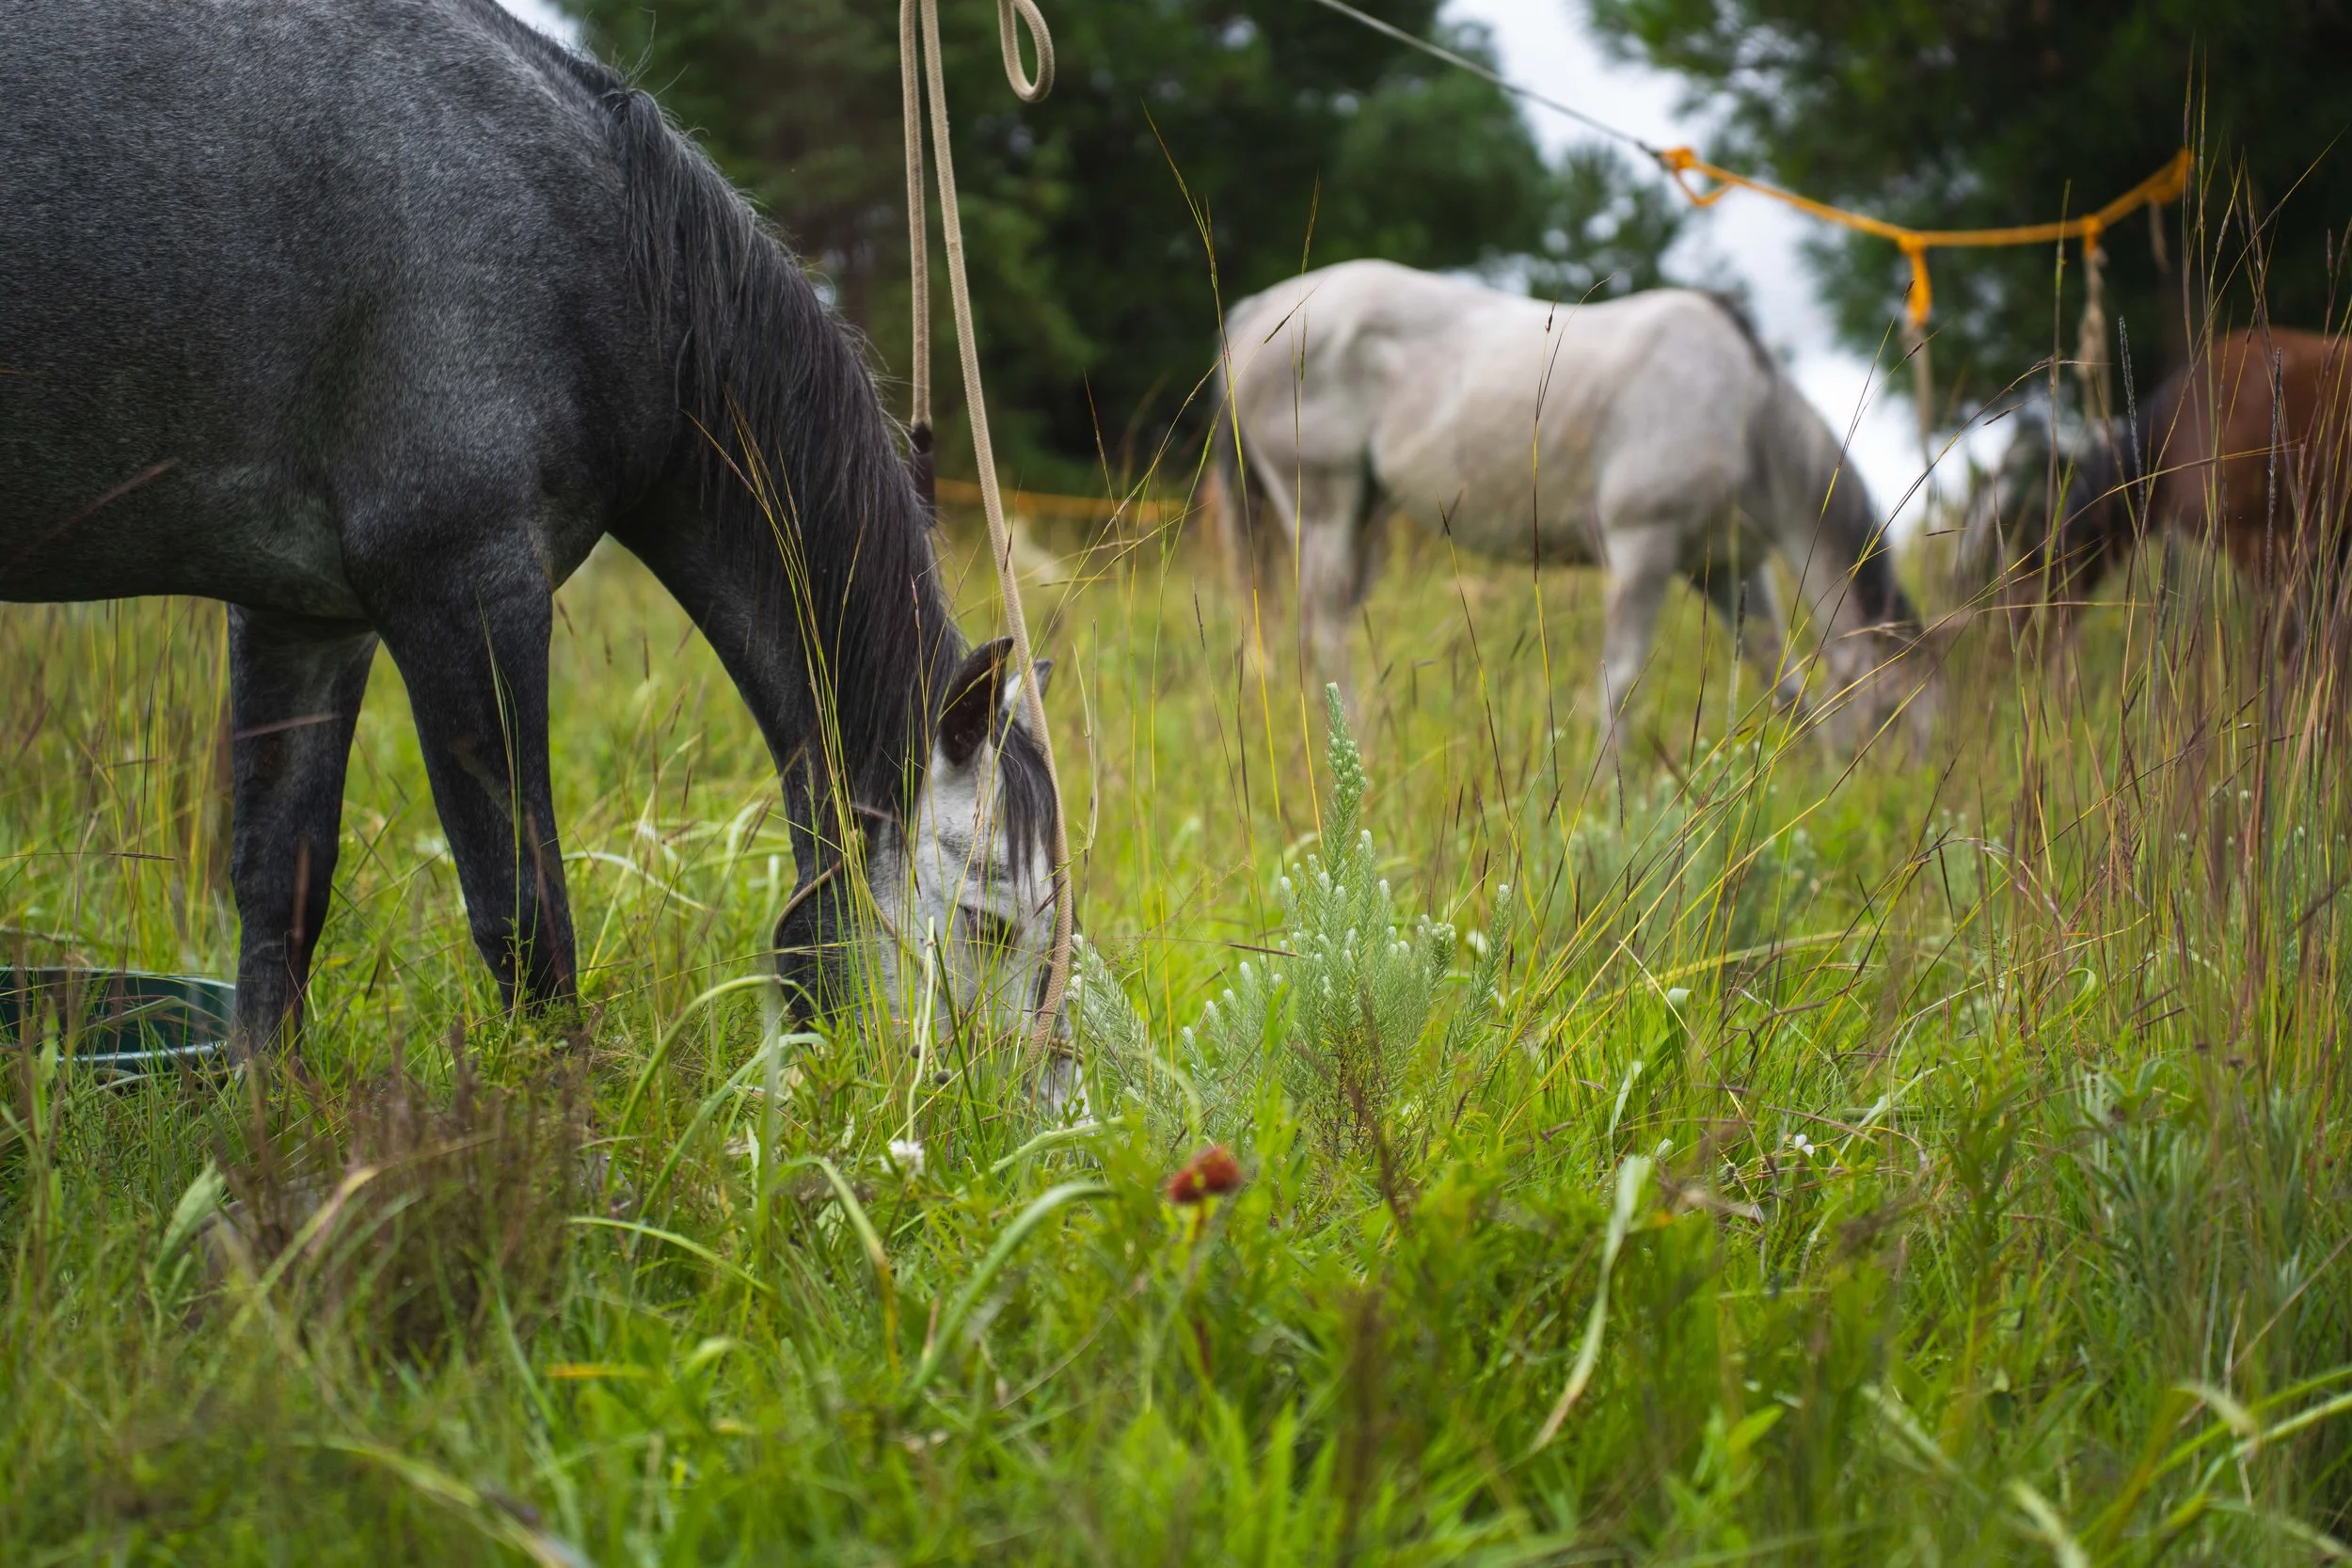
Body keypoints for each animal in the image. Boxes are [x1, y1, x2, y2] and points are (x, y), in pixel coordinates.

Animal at [0, 0, 1063, 1057]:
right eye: (989, 922)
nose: (1014, 1100)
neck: (604, 248)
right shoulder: (465, 589)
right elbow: (523, 910)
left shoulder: (298, 614)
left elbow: (279, 889)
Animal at [1207, 261, 1938, 762]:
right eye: (1893, 718)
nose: (1889, 809)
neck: (1742, 410)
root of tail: (1259, 309)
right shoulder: (1643, 552)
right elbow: (1621, 685)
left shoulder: (1730, 570)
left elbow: (1784, 683)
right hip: (1321, 504)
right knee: (1322, 627)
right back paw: (1358, 743)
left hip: (1363, 516)